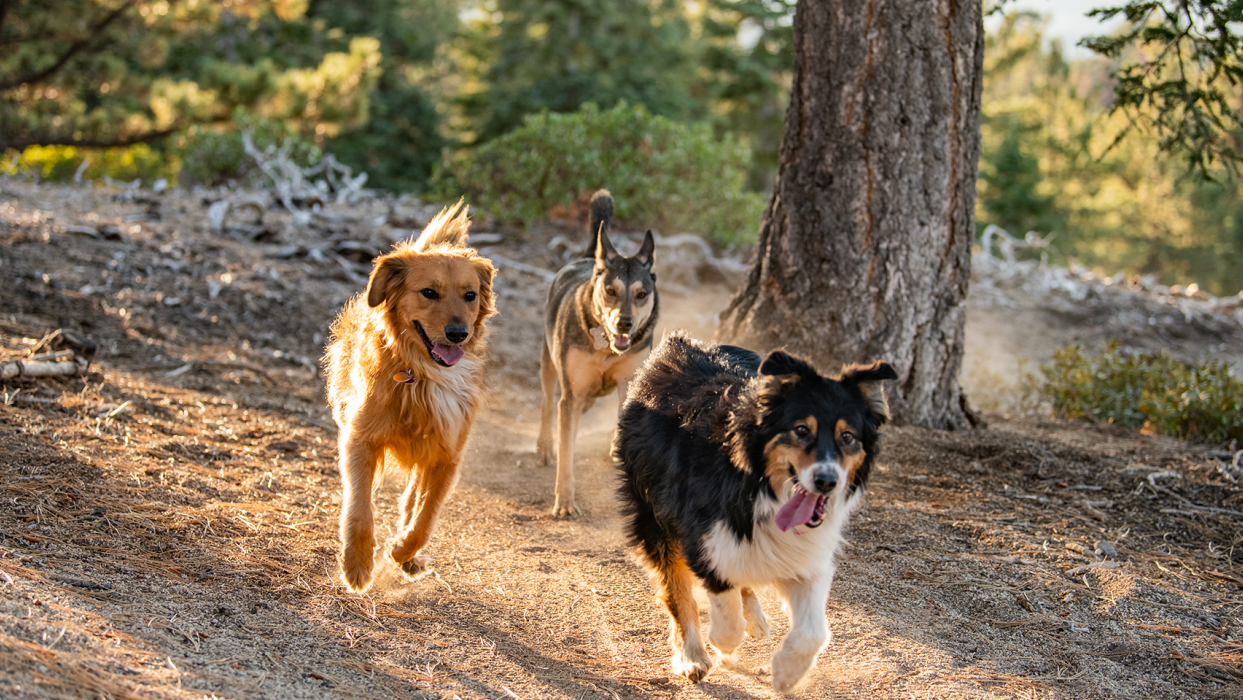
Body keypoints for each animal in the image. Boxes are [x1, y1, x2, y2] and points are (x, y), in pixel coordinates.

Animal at [325, 202, 494, 591]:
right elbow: (359, 504)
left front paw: (402, 550)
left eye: (470, 295)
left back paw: (408, 556)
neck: (419, 375)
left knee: (413, 500)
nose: (458, 333)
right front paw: (357, 562)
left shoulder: (447, 456)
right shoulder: (360, 439)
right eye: (429, 292)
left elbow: (425, 519)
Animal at [614, 333, 894, 691]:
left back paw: (756, 619)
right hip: (653, 514)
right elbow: (724, 616)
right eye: (801, 430)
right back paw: (693, 655)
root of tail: (677, 342)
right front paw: (720, 646)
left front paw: (787, 672)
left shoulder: (807, 555)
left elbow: (813, 632)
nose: (827, 481)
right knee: (679, 590)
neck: (759, 484)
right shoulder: (706, 540)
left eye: (847, 437)